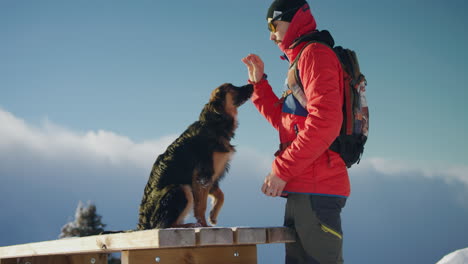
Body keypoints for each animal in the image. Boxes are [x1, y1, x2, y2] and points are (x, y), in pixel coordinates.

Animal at [137, 82, 252, 229]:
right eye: (232, 88)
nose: (252, 85)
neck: (213, 124)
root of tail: (143, 225)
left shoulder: (211, 178)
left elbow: (221, 195)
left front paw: (213, 216)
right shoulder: (202, 176)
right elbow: (201, 206)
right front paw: (204, 224)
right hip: (181, 188)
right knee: (165, 225)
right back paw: (189, 225)